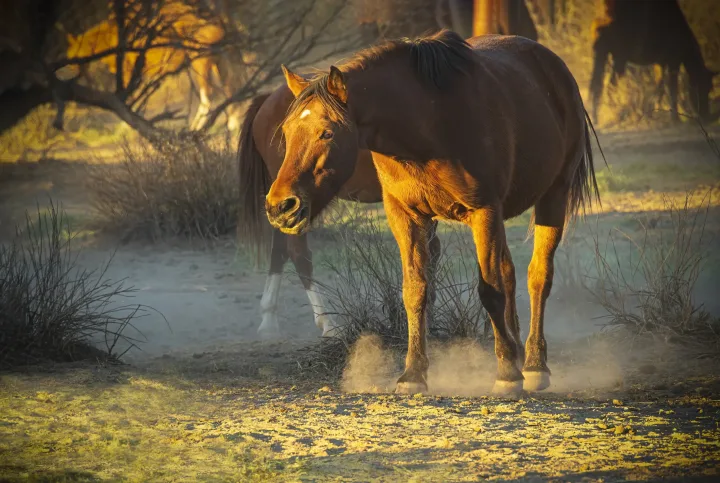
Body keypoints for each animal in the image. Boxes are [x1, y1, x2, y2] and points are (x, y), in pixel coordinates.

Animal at [66, 0, 245, 131]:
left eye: (72, 55)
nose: (70, 71)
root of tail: (218, 18)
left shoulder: (129, 71)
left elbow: (128, 101)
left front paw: (125, 126)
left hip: (198, 63)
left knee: (208, 97)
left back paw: (194, 129)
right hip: (216, 64)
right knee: (230, 91)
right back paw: (232, 127)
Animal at [237, 83, 441, 338]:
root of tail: (267, 99)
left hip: (284, 206)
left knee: (280, 251)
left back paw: (268, 318)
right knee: (297, 253)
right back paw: (328, 323)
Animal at [266, 30, 600, 395]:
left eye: (327, 132)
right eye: (286, 132)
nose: (280, 206)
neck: (428, 125)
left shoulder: (483, 211)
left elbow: (490, 291)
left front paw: (507, 374)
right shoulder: (406, 217)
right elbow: (416, 291)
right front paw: (413, 374)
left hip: (553, 197)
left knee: (538, 276)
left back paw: (535, 366)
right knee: (509, 274)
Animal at [589, 0, 718, 124]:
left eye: (710, 88)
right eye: (701, 87)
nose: (706, 116)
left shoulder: (660, 63)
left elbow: (660, 85)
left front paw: (654, 112)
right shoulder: (673, 61)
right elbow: (672, 88)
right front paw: (674, 118)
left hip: (601, 52)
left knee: (596, 84)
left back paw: (597, 118)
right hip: (619, 56)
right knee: (610, 84)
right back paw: (616, 113)